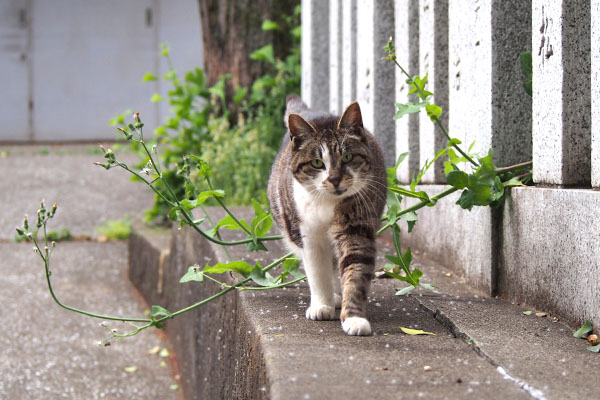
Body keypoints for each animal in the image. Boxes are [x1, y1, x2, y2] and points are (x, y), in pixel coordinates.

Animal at [268, 95, 390, 336]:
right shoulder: (309, 237)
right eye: (317, 163)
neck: (327, 203)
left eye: (348, 157)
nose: (334, 179)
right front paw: (322, 306)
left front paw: (354, 318)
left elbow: (355, 270)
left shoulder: (357, 228)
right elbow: (318, 273)